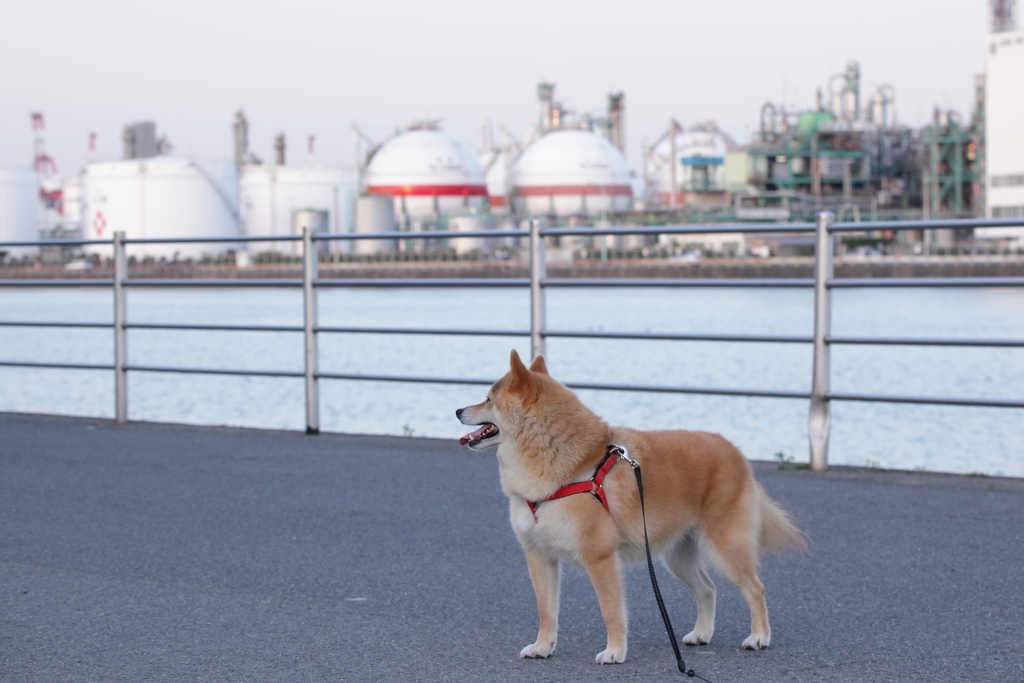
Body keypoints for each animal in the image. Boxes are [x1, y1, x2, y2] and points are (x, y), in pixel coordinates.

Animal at [458, 350, 806, 663]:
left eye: (488, 399)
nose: (459, 409)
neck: (569, 468)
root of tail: (735, 451)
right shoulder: (539, 556)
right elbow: (546, 612)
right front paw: (543, 648)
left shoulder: (600, 558)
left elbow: (611, 611)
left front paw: (614, 652)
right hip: (677, 557)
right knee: (707, 589)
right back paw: (702, 634)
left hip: (725, 548)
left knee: (755, 588)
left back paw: (759, 636)